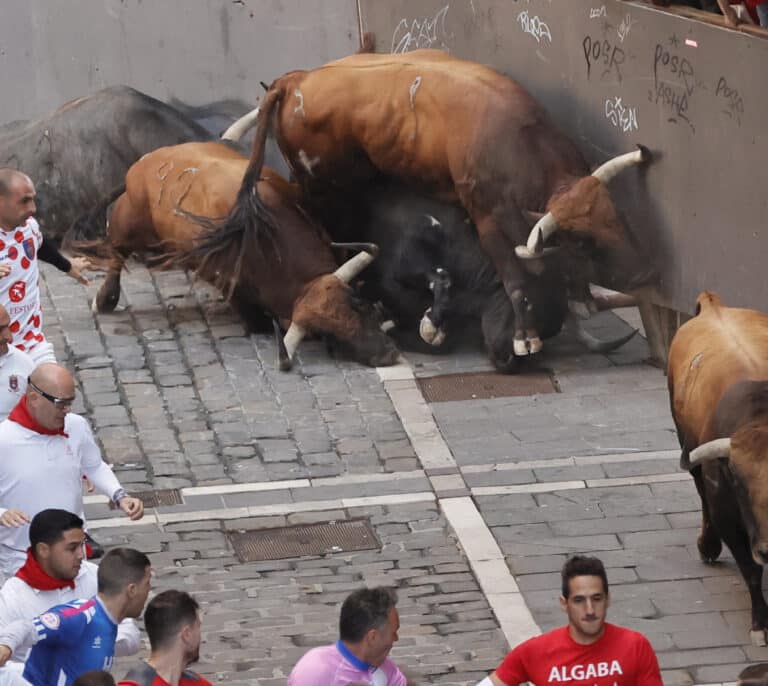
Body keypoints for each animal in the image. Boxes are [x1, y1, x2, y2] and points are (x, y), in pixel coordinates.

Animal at [76, 118, 402, 370]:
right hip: (128, 222)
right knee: (117, 252)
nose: (386, 355)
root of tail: (147, 161)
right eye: (327, 333)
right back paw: (105, 299)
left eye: (357, 304)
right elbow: (257, 323)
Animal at [222, 48, 656, 360]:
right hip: (316, 185)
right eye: (582, 241)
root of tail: (295, 79)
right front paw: (524, 337)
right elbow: (514, 279)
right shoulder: (486, 217)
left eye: (617, 217)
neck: (522, 142)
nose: (643, 274)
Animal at [664, 294, 768, 644]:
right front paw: (760, 624)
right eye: (737, 481)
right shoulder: (729, 519)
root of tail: (712, 306)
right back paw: (707, 545)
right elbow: (751, 571)